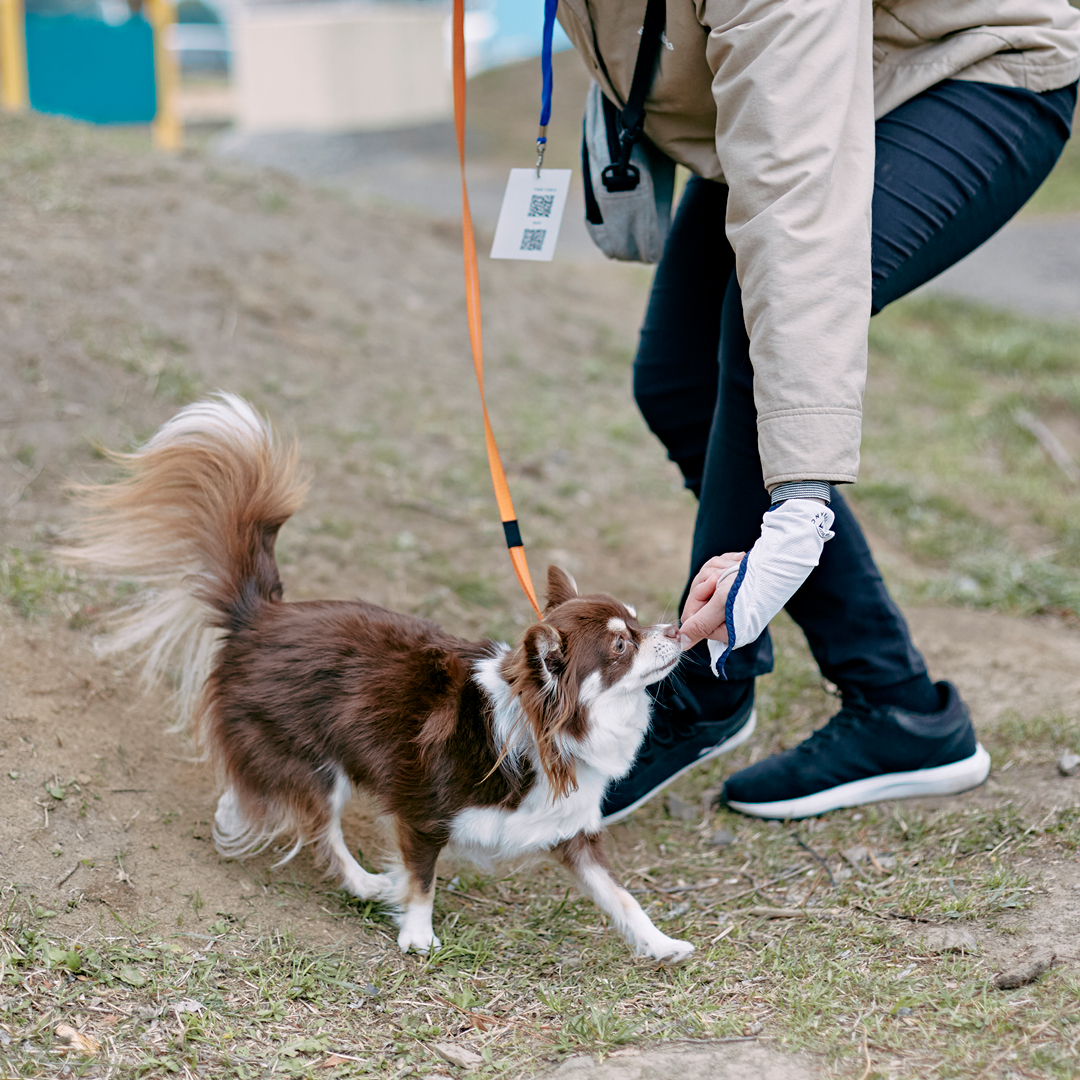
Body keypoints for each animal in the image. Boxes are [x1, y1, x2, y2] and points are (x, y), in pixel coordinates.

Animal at [67, 397, 691, 963]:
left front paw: (659, 944)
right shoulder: (425, 813)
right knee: (321, 830)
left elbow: (619, 895)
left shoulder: (571, 834)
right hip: (315, 765)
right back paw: (364, 882)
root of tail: (262, 615)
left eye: (639, 621)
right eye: (621, 645)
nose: (680, 628)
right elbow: (422, 878)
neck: (550, 730)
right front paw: (417, 935)